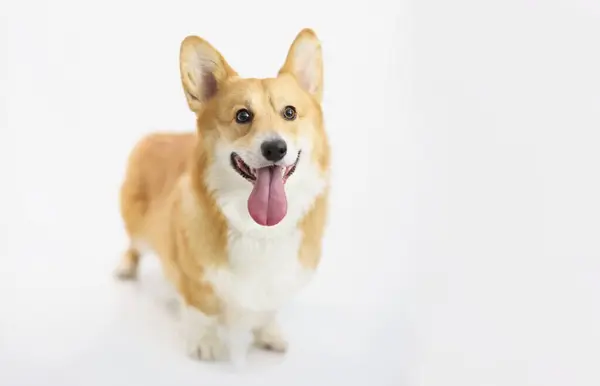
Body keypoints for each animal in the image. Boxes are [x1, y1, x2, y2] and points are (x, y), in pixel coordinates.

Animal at [115, 27, 330, 362]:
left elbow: (268, 309)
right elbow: (201, 309)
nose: (275, 148)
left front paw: (268, 334)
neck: (259, 231)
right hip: (138, 225)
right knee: (134, 245)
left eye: (290, 112)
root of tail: (157, 136)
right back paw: (126, 266)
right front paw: (205, 343)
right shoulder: (194, 278)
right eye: (242, 116)